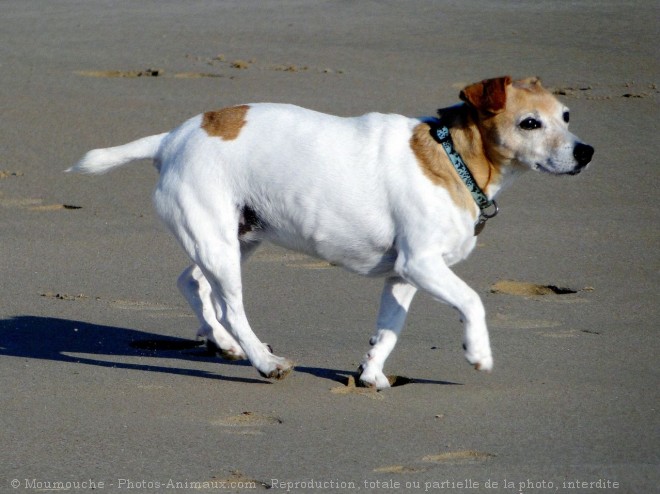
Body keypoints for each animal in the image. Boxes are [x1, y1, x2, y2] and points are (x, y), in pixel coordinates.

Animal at [69, 75, 596, 388]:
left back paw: (223, 343)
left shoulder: (404, 277)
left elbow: (388, 330)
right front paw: (478, 353)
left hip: (236, 240)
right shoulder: (422, 265)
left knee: (192, 284)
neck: (454, 160)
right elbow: (473, 301)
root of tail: (172, 139)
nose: (586, 152)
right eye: (530, 123)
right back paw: (262, 360)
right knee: (232, 307)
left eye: (566, 117)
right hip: (219, 247)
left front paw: (372, 375)